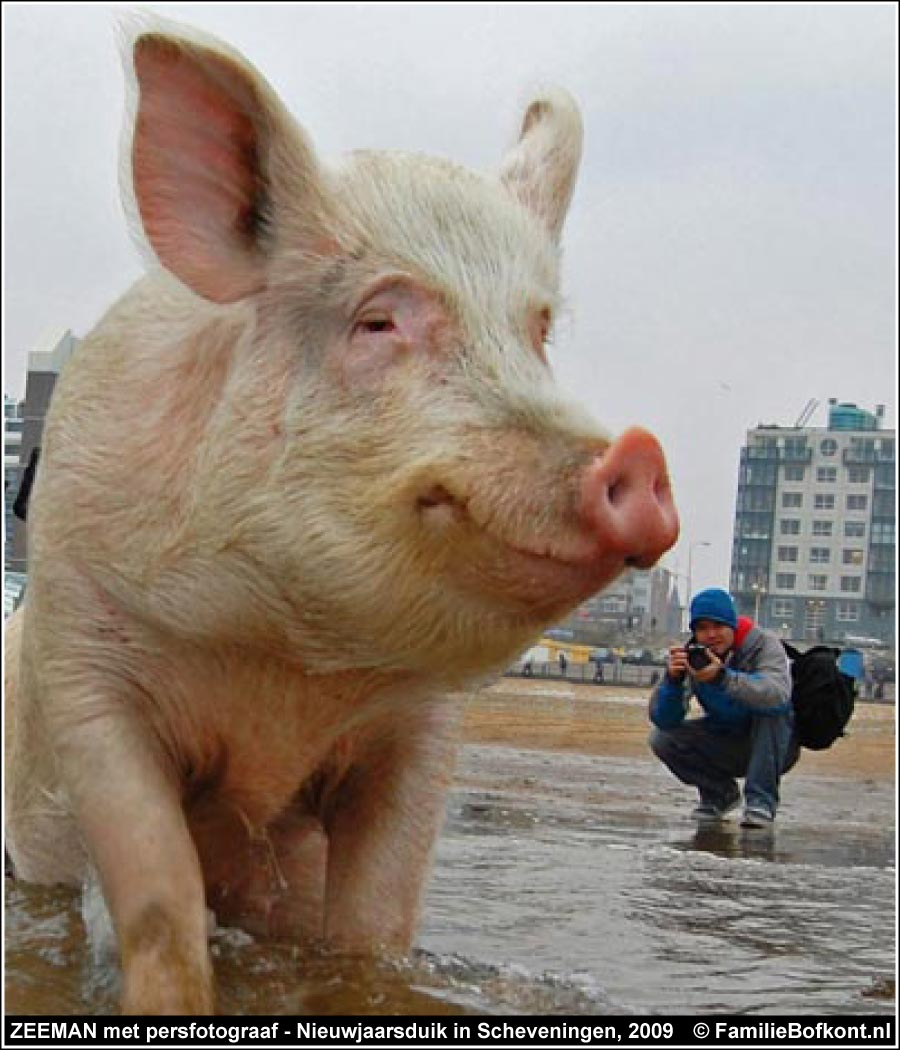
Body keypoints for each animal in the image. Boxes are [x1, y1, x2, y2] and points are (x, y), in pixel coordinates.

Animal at [3, 20, 676, 1012]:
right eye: (379, 321)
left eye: (539, 331)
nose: (637, 453)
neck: (286, 667)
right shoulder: (86, 663)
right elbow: (161, 904)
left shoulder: (421, 724)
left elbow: (373, 927)